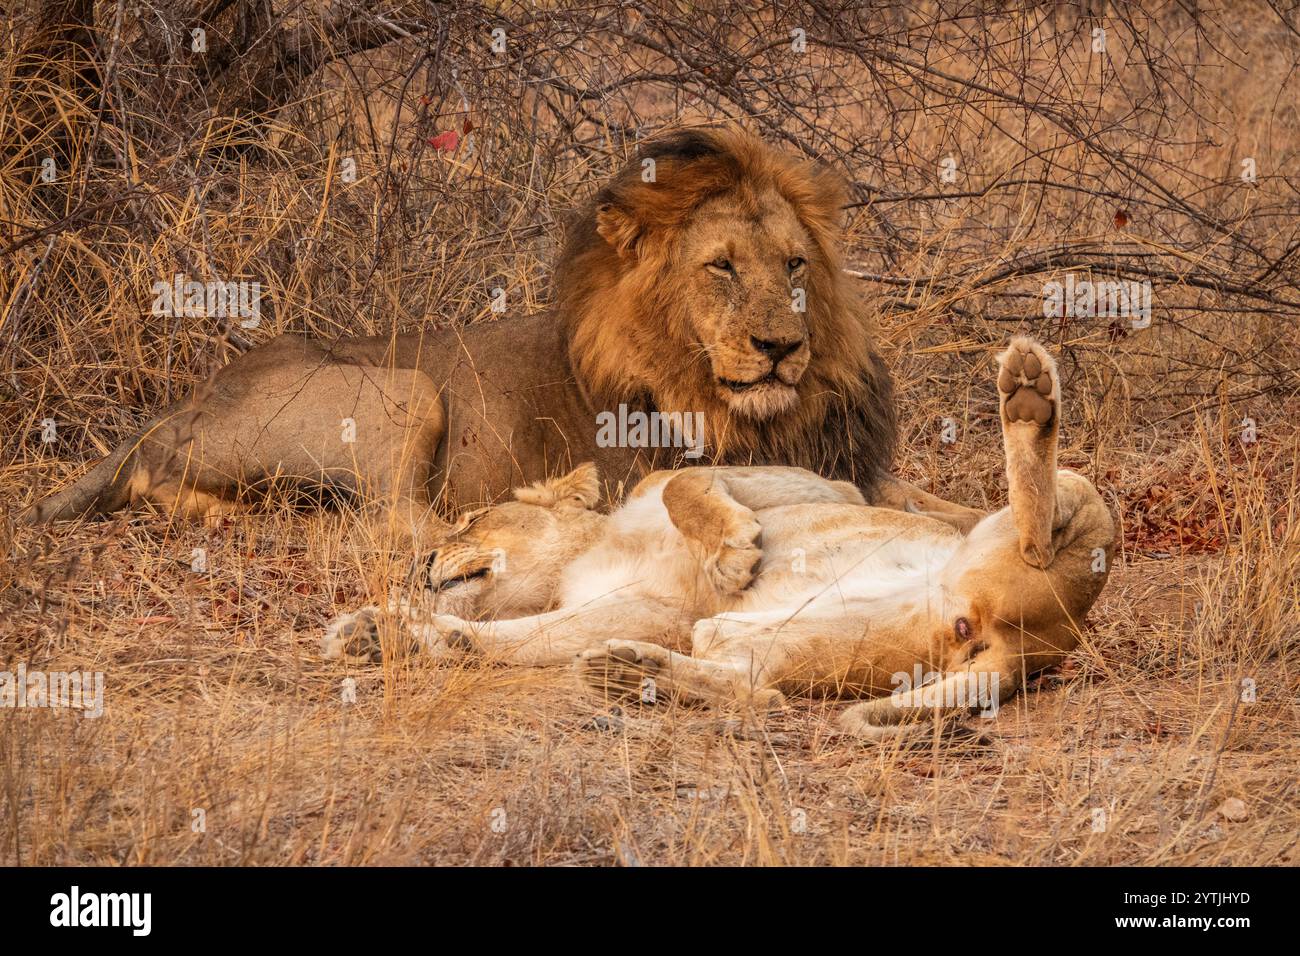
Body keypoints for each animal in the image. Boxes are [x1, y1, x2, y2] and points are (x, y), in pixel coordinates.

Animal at [22, 128, 977, 538]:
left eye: (794, 265)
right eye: (721, 268)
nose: (782, 348)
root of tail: (172, 410)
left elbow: (947, 505)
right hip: (405, 388)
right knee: (397, 526)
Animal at [327, 338, 1118, 733]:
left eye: (469, 518)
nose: (423, 561)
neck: (589, 555)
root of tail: (1031, 648)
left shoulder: (809, 484)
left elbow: (688, 487)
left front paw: (734, 554)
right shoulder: (644, 613)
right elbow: (507, 640)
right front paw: (379, 632)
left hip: (1078, 512)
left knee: (1039, 526)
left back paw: (1027, 394)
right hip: (803, 637)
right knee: (757, 690)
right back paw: (628, 673)